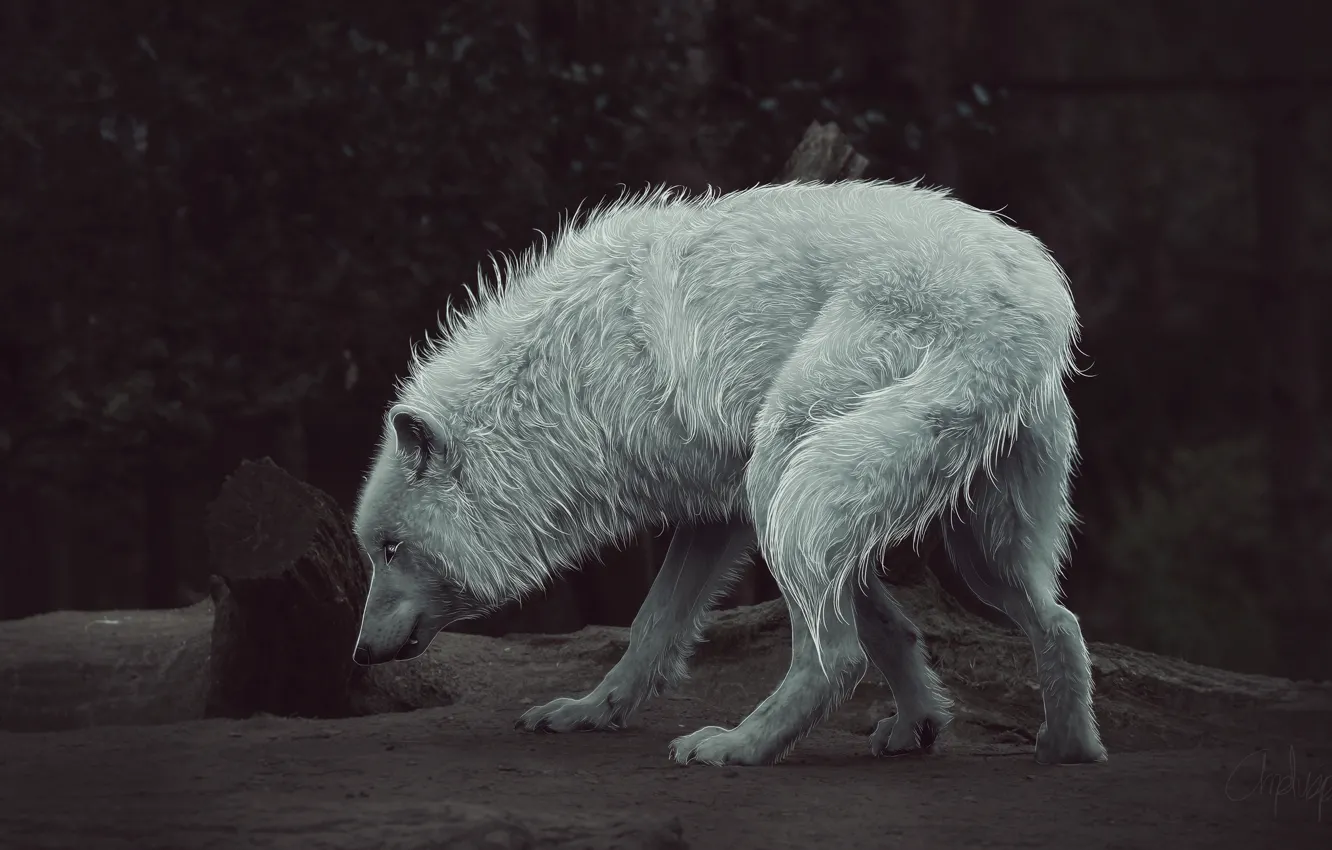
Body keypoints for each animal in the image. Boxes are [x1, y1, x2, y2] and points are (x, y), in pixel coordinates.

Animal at [351, 180, 1107, 767]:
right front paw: (591, 712)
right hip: (962, 543)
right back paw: (1068, 747)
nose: (357, 654)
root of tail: (1026, 298)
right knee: (1059, 621)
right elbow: (658, 626)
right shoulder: (723, 516)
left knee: (834, 656)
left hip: (793, 468)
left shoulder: (736, 507)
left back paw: (738, 747)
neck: (562, 382)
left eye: (390, 548)